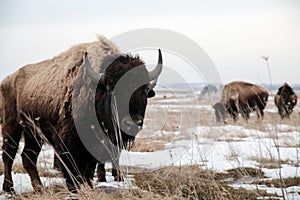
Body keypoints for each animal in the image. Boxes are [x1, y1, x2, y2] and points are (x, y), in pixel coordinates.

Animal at [0, 35, 164, 192]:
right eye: (110, 88)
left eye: (144, 89)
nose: (132, 123)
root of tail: (7, 80)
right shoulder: (68, 143)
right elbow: (73, 170)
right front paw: (75, 189)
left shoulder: (95, 147)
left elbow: (88, 171)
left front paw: (90, 186)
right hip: (12, 127)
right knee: (9, 154)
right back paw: (9, 188)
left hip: (33, 134)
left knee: (28, 157)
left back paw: (38, 188)